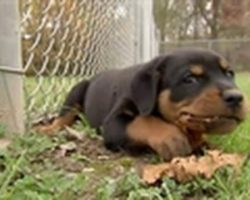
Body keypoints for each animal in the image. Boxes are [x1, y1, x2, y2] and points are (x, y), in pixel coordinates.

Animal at [35, 48, 248, 161]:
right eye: (189, 79)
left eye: (230, 74)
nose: (236, 97)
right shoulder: (113, 124)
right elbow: (142, 121)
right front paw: (171, 136)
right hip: (77, 90)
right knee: (63, 117)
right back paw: (48, 129)